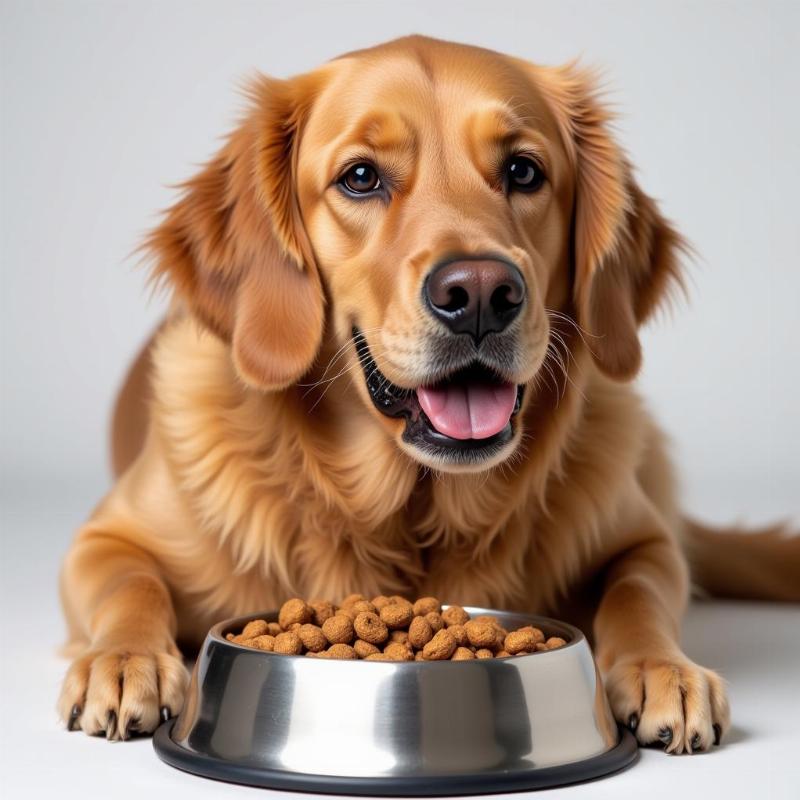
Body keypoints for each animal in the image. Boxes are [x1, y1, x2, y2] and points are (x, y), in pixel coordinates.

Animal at [57, 36, 800, 752]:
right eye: (360, 177)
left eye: (523, 171)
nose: (480, 294)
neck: (406, 512)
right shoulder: (105, 537)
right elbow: (131, 583)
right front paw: (123, 661)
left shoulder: (643, 538)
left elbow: (638, 592)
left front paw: (661, 669)